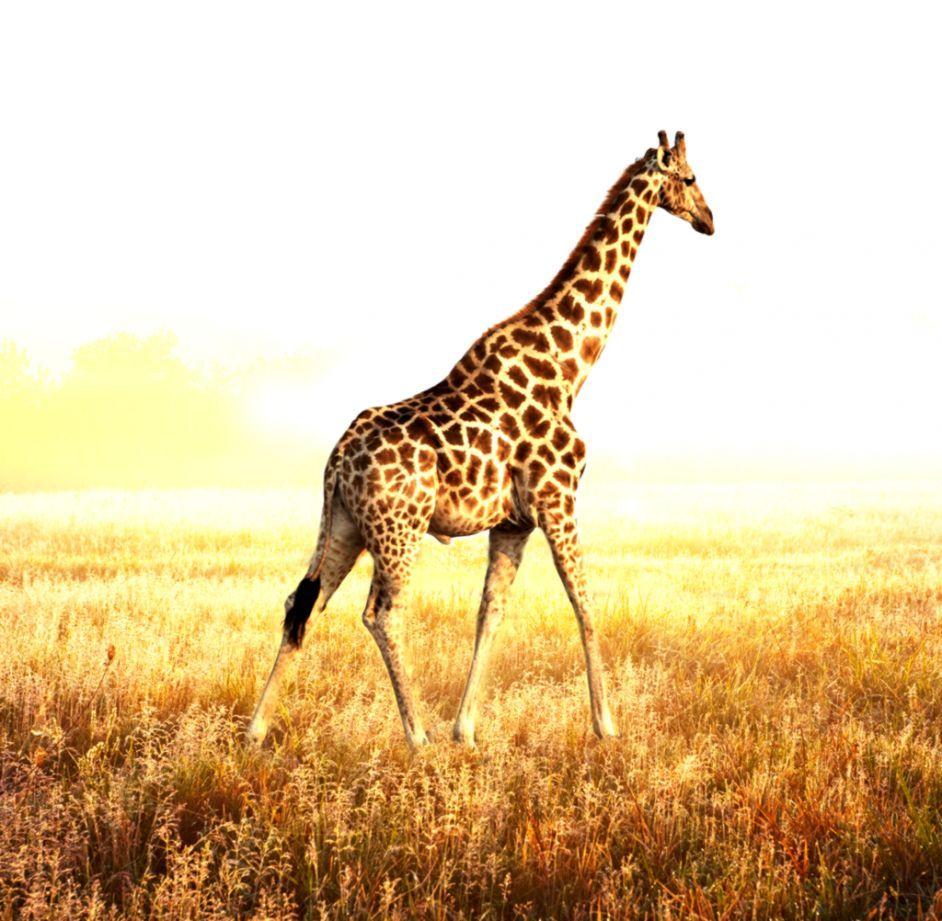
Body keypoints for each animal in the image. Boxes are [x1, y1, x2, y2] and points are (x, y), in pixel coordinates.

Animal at [247, 130, 715, 749]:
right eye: (690, 178)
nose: (709, 220)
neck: (569, 366)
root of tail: (336, 461)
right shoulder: (557, 499)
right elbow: (584, 601)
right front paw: (607, 726)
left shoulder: (513, 521)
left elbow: (489, 611)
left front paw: (466, 729)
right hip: (399, 529)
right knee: (381, 613)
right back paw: (415, 735)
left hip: (345, 524)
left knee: (304, 603)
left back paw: (256, 730)